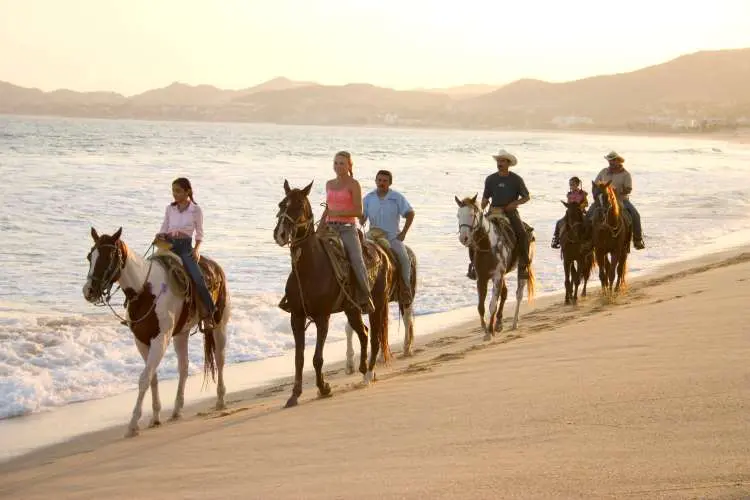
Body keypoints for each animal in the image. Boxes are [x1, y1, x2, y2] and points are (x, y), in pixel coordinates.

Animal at [81, 228, 229, 438]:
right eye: (90, 256)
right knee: (184, 367)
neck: (144, 291)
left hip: (219, 325)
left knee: (219, 358)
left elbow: (144, 378)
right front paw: (156, 417)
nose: (89, 291)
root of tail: (216, 267)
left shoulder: (160, 340)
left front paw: (133, 424)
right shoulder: (142, 341)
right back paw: (176, 410)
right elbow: (152, 377)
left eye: (108, 257)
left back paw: (220, 399)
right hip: (181, 334)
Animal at [274, 180, 394, 406]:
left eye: (299, 206)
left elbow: (317, 358)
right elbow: (299, 358)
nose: (280, 234)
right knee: (364, 333)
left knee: (374, 337)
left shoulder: (323, 317)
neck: (310, 267)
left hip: (378, 304)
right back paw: (363, 368)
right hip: (352, 309)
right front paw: (294, 394)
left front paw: (324, 388)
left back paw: (368, 375)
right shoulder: (296, 317)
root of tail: (383, 254)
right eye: (281, 204)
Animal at [456, 192, 536, 340]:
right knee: (504, 293)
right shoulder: (482, 278)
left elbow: (492, 304)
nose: (464, 238)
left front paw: (489, 332)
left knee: (518, 294)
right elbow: (481, 306)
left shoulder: (497, 276)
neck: (488, 245)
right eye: (458, 215)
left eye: (472, 214)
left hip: (521, 267)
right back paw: (499, 323)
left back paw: (514, 323)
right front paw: (485, 328)